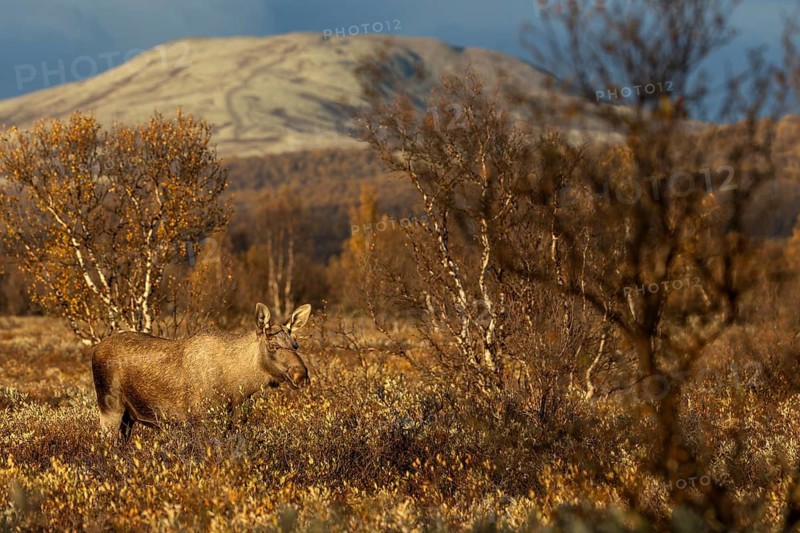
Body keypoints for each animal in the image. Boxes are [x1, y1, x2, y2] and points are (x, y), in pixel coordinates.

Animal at [91, 303, 312, 441]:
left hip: (128, 417)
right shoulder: (203, 420)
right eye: (273, 346)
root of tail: (95, 349)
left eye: (296, 345)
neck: (239, 385)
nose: (301, 375)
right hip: (109, 408)